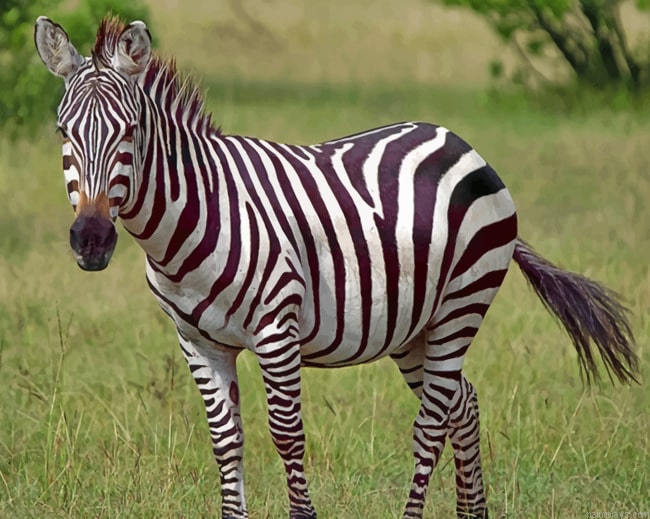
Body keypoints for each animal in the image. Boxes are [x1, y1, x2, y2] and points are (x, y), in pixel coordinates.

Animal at [34, 15, 638, 519]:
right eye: (63, 133)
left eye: (130, 132)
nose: (92, 240)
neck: (197, 213)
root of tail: (463, 143)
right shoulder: (198, 341)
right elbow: (226, 442)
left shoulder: (277, 331)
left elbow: (287, 436)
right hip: (413, 326)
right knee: (461, 405)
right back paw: (474, 514)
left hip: (461, 306)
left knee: (431, 424)